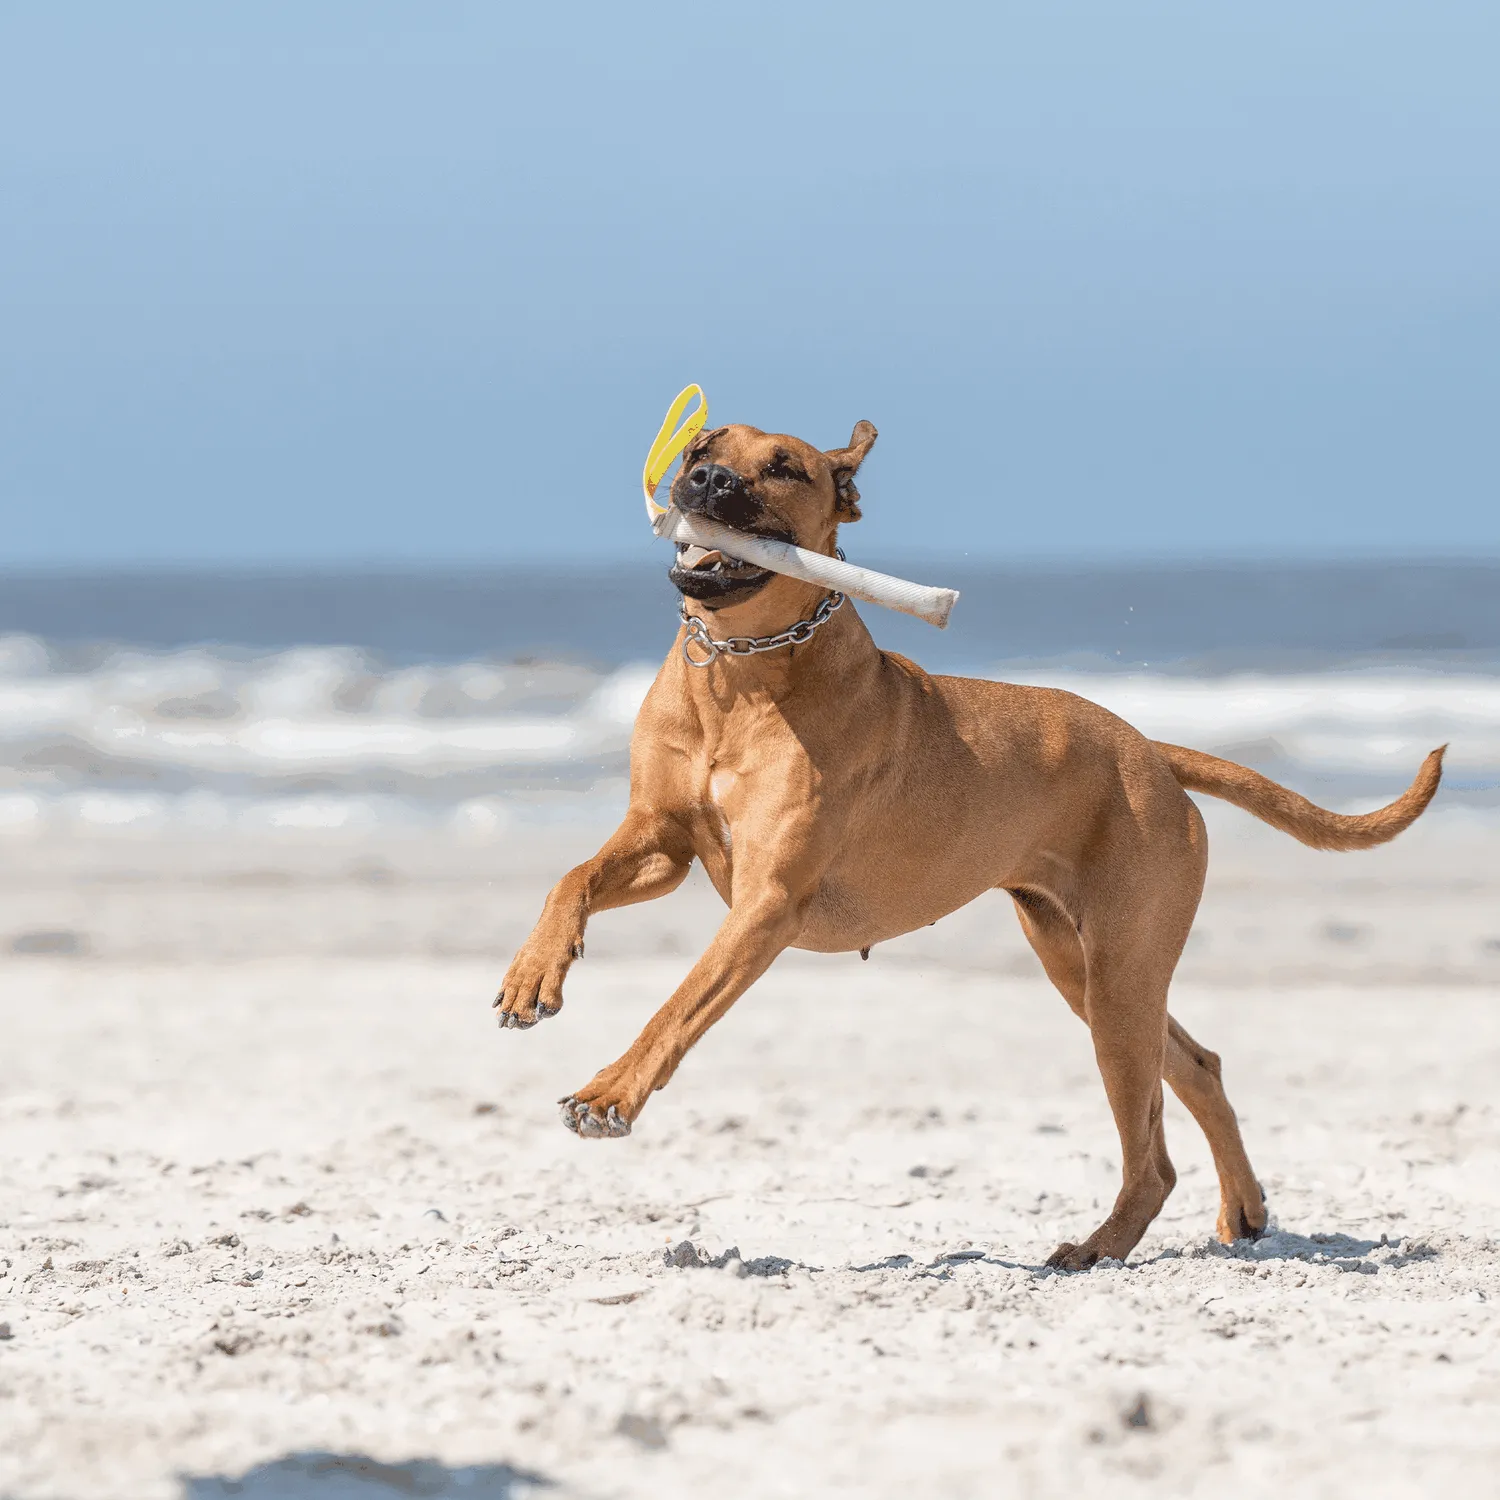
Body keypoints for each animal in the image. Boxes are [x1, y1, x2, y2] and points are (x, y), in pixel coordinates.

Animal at [498, 417, 1446, 1272]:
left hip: (1119, 976)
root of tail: (1149, 748)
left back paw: (1095, 1247)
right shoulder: (662, 843)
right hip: (1079, 965)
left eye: (783, 467)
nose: (706, 484)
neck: (740, 667)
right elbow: (570, 877)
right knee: (1198, 1066)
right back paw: (1240, 1212)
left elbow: (676, 1005)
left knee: (1151, 1154)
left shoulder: (768, 903)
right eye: (702, 447)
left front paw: (609, 1092)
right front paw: (533, 974)